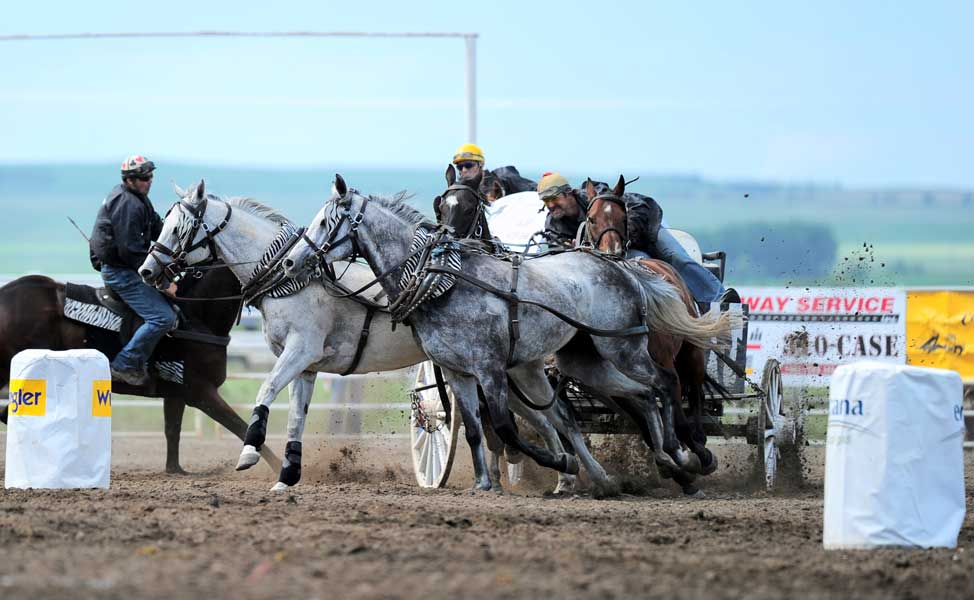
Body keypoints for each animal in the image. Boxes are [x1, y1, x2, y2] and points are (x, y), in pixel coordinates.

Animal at [0, 270, 282, 474]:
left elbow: (172, 429)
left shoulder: (176, 392)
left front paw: (175, 470)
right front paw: (278, 466)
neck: (193, 318)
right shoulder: (200, 392)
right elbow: (241, 426)